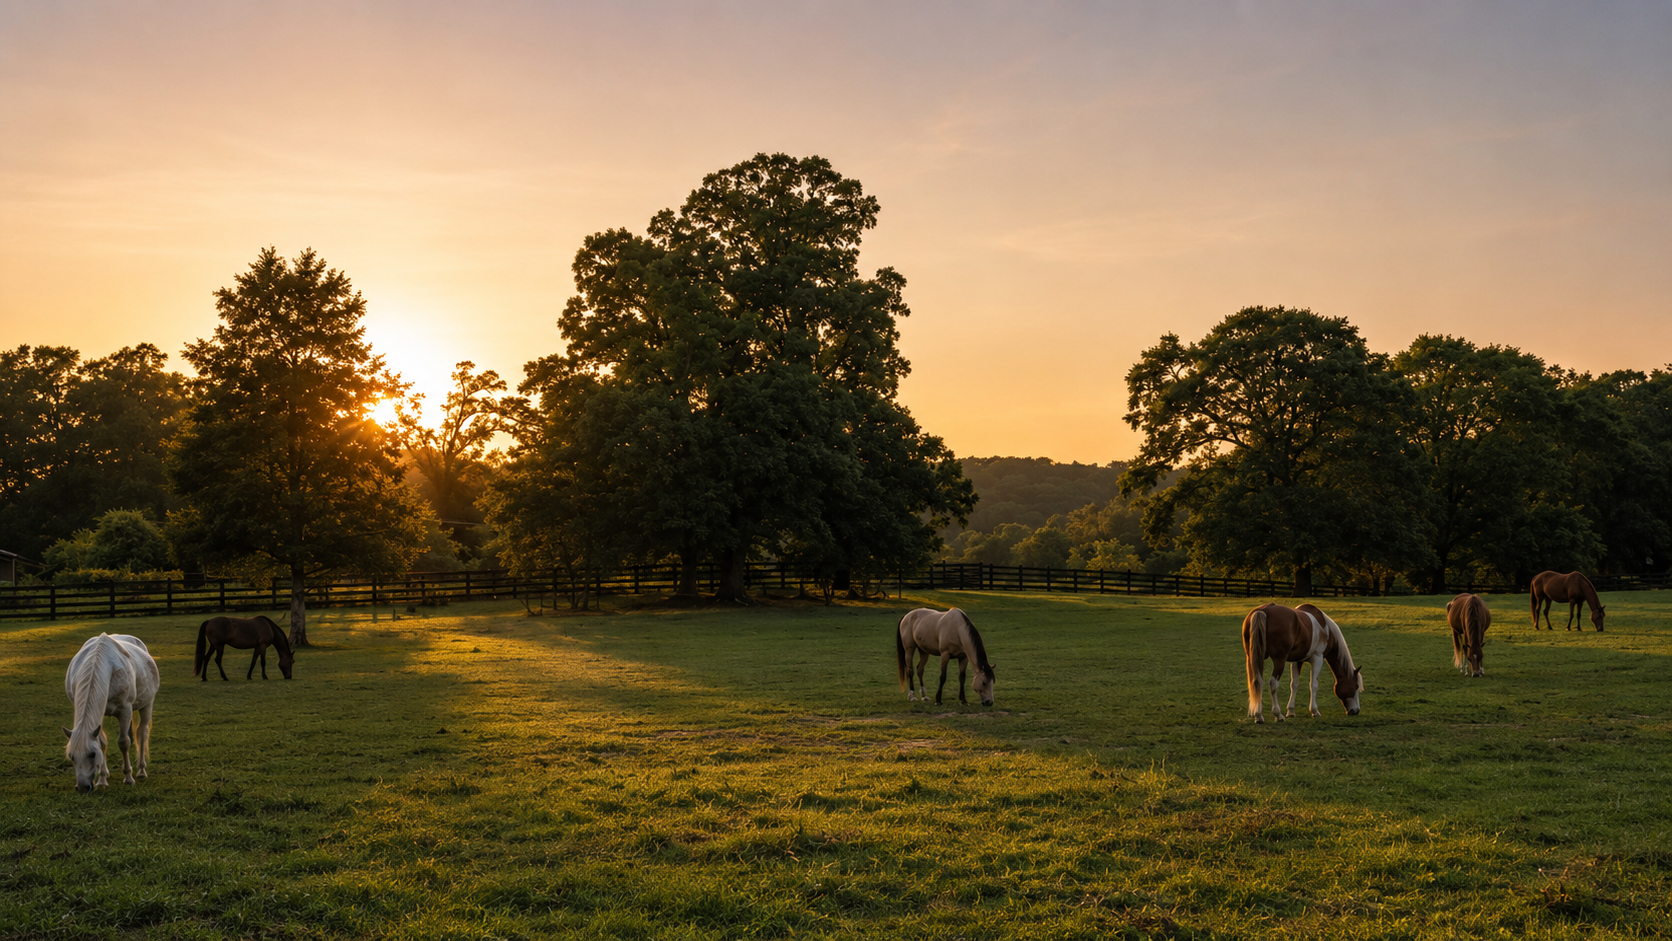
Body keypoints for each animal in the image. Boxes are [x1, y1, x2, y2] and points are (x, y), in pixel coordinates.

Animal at [63, 633, 159, 792]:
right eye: (71, 756)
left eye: (92, 754)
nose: (82, 787)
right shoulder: (99, 715)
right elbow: (102, 743)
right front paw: (102, 779)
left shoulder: (125, 710)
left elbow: (124, 742)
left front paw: (128, 777)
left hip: (147, 703)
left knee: (142, 732)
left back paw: (141, 770)